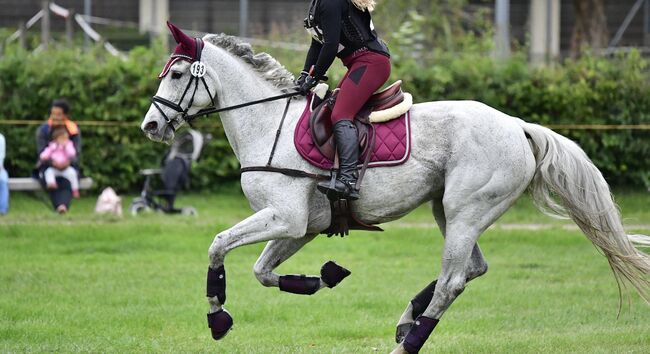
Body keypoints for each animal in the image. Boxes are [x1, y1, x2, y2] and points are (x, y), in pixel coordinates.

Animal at [142, 31, 648, 352]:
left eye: (178, 75)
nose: (150, 126)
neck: (270, 123)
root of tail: (518, 126)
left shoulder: (285, 217)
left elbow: (218, 246)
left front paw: (217, 319)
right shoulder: (301, 227)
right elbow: (262, 271)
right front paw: (322, 277)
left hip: (464, 211)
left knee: (453, 281)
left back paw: (409, 343)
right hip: (449, 210)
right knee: (472, 270)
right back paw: (407, 323)